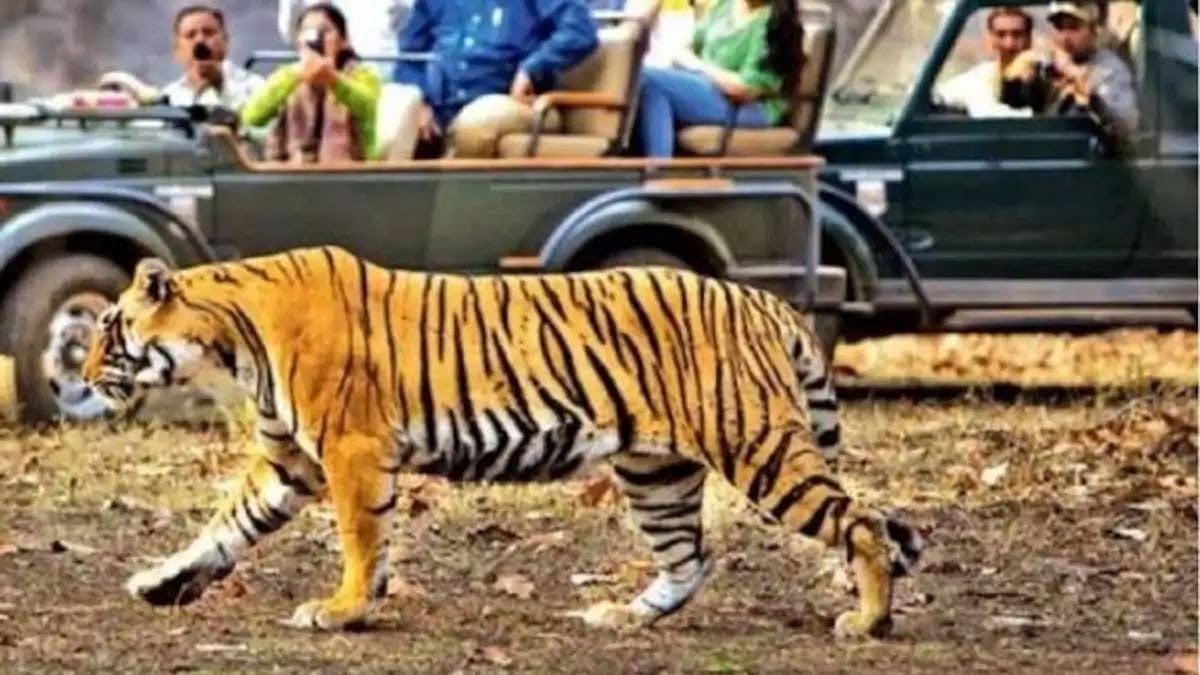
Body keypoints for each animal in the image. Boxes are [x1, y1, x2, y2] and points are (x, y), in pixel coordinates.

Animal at [80, 245, 923, 638]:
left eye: (110, 328)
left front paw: (343, 608)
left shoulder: (350, 449)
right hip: (657, 470)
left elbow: (359, 538)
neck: (232, 335)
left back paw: (868, 622)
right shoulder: (289, 459)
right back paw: (623, 615)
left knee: (861, 522)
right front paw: (160, 580)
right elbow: (224, 525)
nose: (84, 374)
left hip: (757, 445)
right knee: (690, 557)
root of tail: (764, 300)